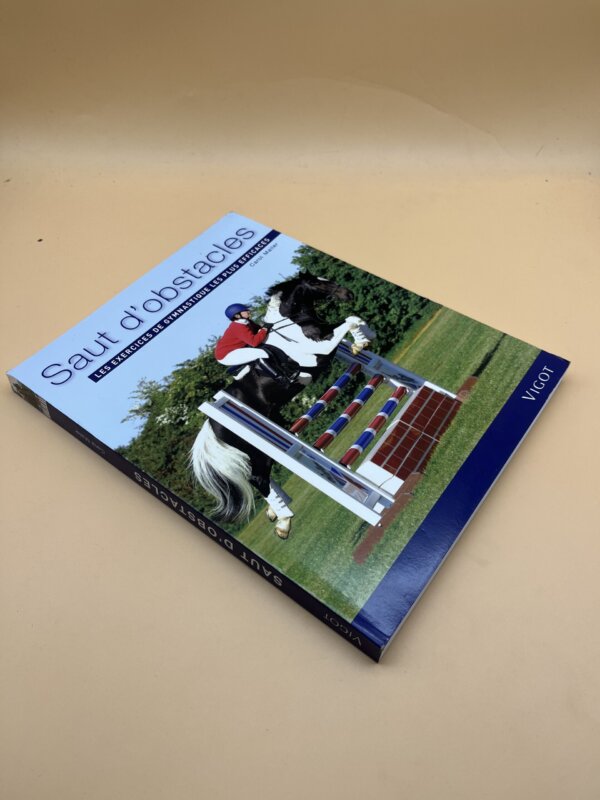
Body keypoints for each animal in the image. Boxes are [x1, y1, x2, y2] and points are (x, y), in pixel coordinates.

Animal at [190, 271, 374, 539]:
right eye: (315, 283)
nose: (347, 294)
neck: (293, 324)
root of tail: (211, 423)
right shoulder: (321, 350)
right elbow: (349, 320)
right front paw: (363, 340)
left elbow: (354, 320)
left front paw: (363, 341)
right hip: (253, 447)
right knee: (258, 479)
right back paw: (284, 522)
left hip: (264, 440)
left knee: (263, 477)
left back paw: (276, 513)